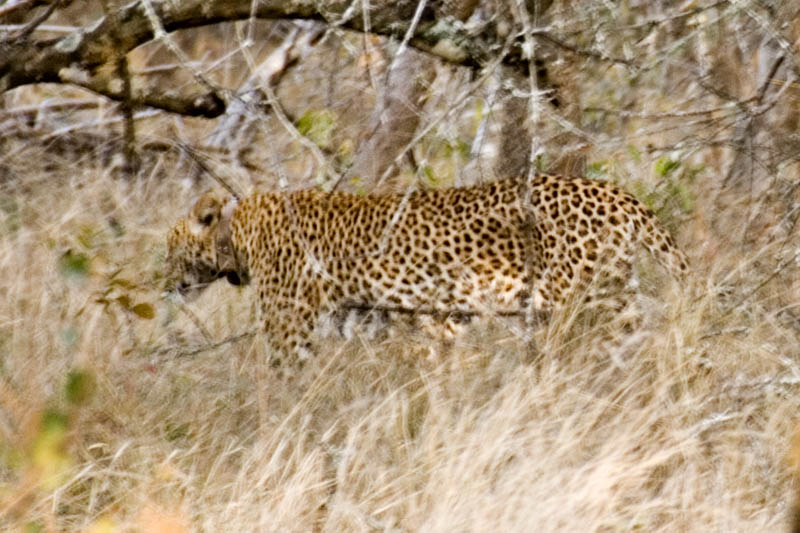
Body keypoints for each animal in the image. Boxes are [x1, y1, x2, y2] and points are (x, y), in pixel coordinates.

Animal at [164, 174, 689, 362]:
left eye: (169, 250)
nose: (165, 285)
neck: (236, 234)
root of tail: (613, 192)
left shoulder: (288, 324)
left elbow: (286, 377)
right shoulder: (366, 316)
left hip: (586, 299)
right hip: (617, 293)